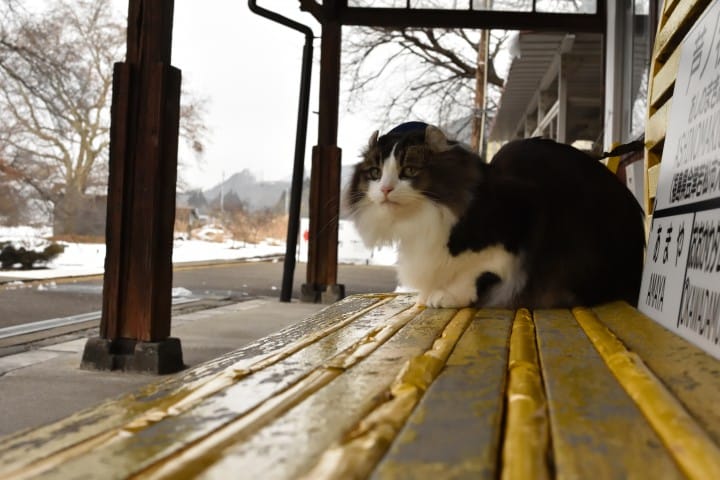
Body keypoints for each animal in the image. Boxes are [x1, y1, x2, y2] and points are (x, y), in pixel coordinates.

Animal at [344, 120, 648, 308]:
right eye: (375, 173)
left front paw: (447, 296)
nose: (385, 189)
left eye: (408, 171)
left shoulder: (518, 226)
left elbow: (478, 271)